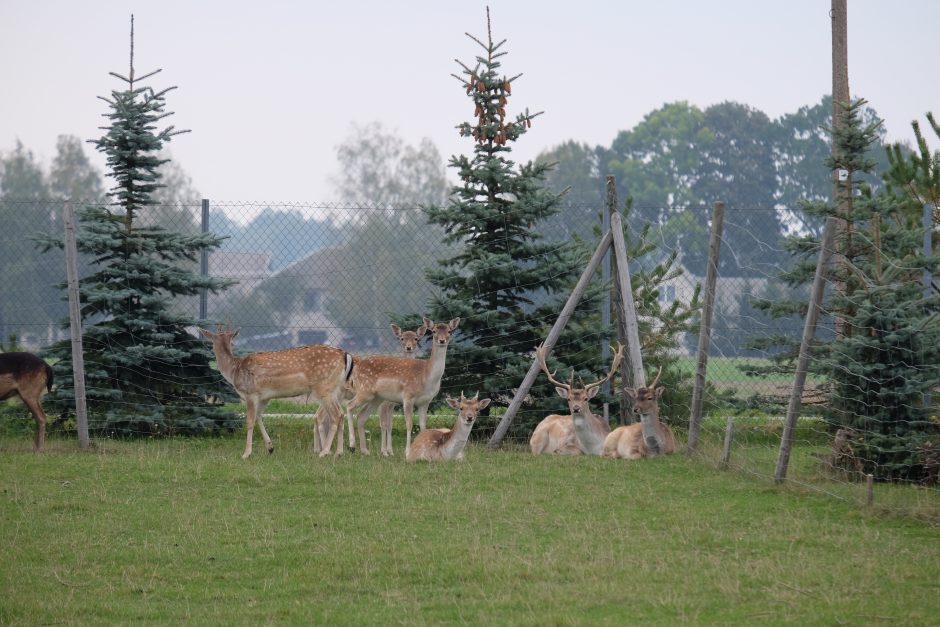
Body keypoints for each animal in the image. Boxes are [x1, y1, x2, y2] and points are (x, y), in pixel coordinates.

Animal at [198, 326, 352, 458]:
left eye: (211, 341)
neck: (234, 371)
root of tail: (345, 355)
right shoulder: (264, 397)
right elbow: (258, 416)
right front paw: (270, 448)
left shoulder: (251, 393)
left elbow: (249, 420)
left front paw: (246, 454)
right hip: (334, 389)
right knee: (341, 413)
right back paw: (339, 453)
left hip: (324, 387)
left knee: (336, 415)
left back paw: (324, 452)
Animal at [346, 316, 460, 458]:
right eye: (433, 331)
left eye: (450, 331)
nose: (442, 340)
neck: (426, 376)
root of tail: (356, 367)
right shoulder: (408, 397)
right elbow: (409, 424)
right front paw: (406, 451)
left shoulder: (425, 402)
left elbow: (423, 425)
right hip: (364, 391)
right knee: (349, 406)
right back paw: (351, 446)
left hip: (376, 398)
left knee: (361, 416)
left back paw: (365, 451)